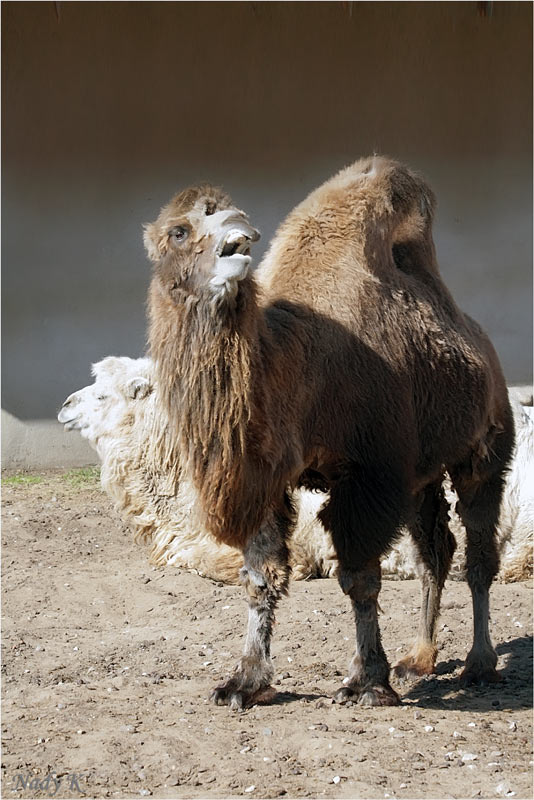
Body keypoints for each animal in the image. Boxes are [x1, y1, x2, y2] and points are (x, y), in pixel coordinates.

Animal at [145, 157, 515, 710]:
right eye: (179, 230)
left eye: (229, 218)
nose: (238, 237)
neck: (299, 365)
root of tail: (484, 349)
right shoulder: (270, 479)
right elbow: (260, 578)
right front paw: (245, 681)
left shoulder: (368, 475)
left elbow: (359, 578)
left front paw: (368, 682)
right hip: (420, 475)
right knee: (435, 551)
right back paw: (419, 658)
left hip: (483, 449)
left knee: (478, 552)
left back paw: (479, 663)